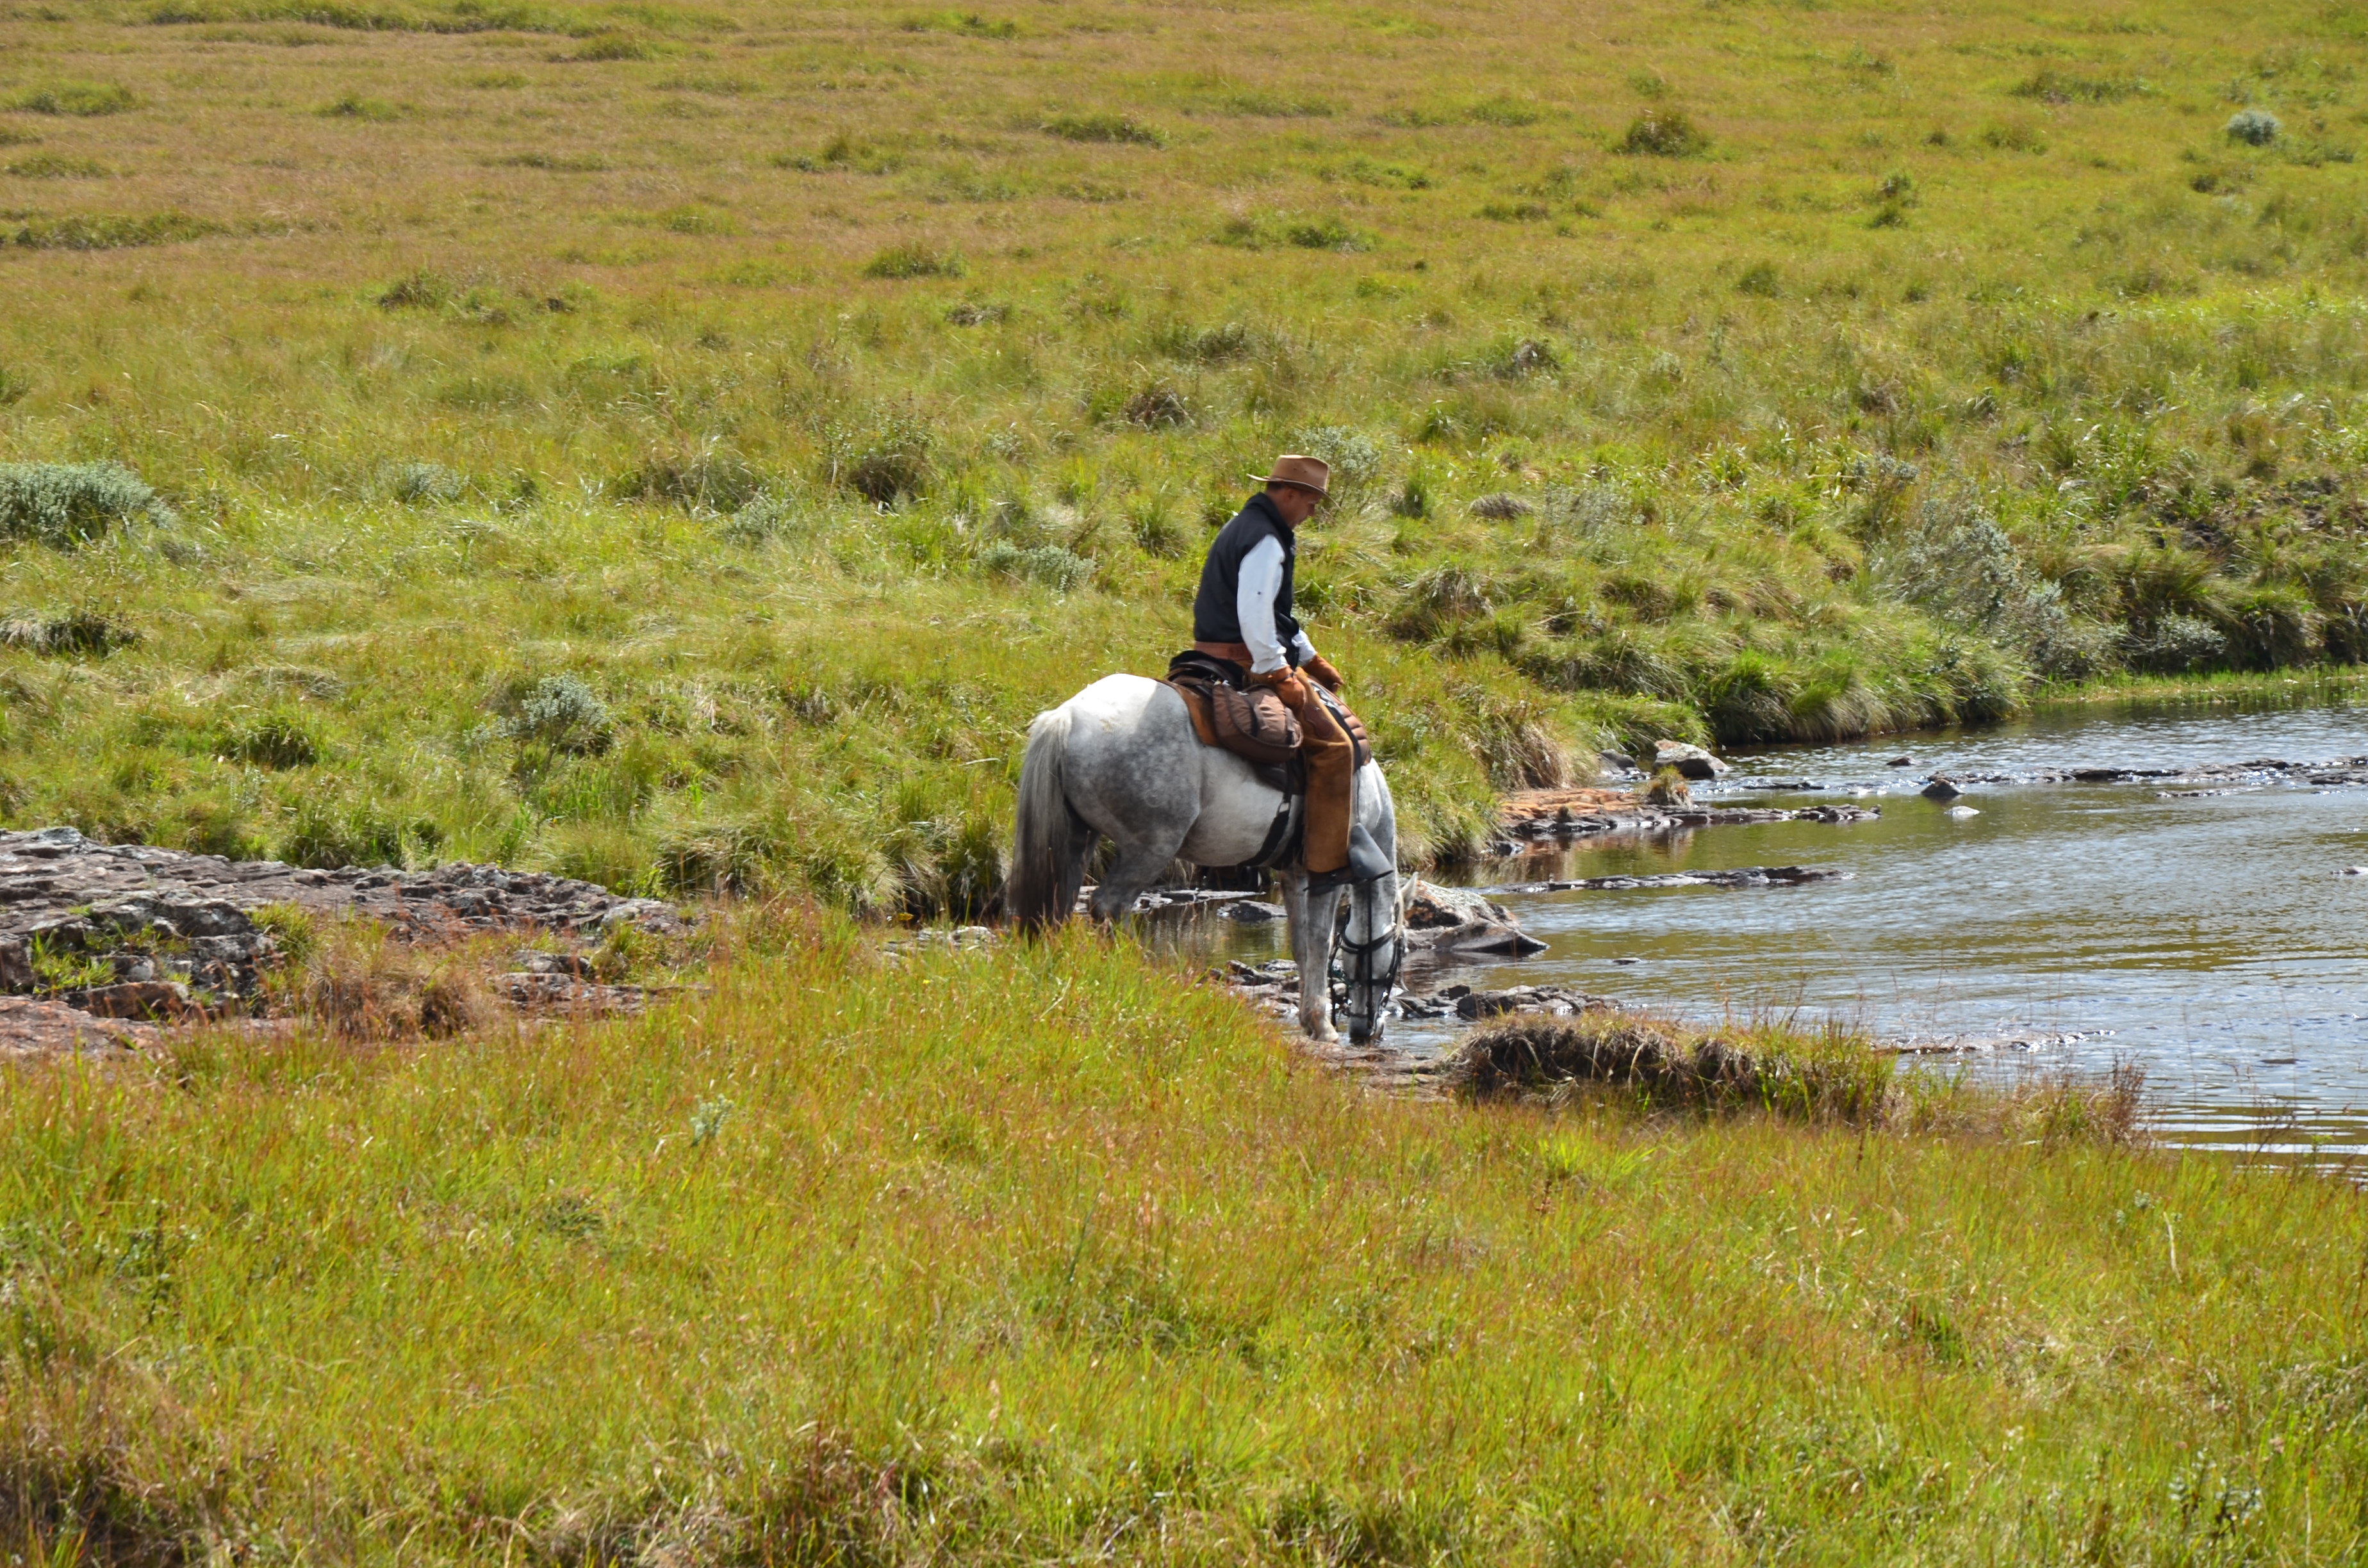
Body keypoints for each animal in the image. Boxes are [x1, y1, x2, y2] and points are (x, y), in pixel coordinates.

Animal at [1006, 674, 1404, 1044]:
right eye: (1398, 952)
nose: (1366, 1030)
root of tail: (1068, 717)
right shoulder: (1326, 874)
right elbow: (1320, 940)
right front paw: (1323, 1026)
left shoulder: (1295, 876)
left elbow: (1301, 942)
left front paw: (1309, 1019)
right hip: (1150, 848)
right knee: (1110, 906)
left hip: (1077, 840)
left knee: (1059, 909)